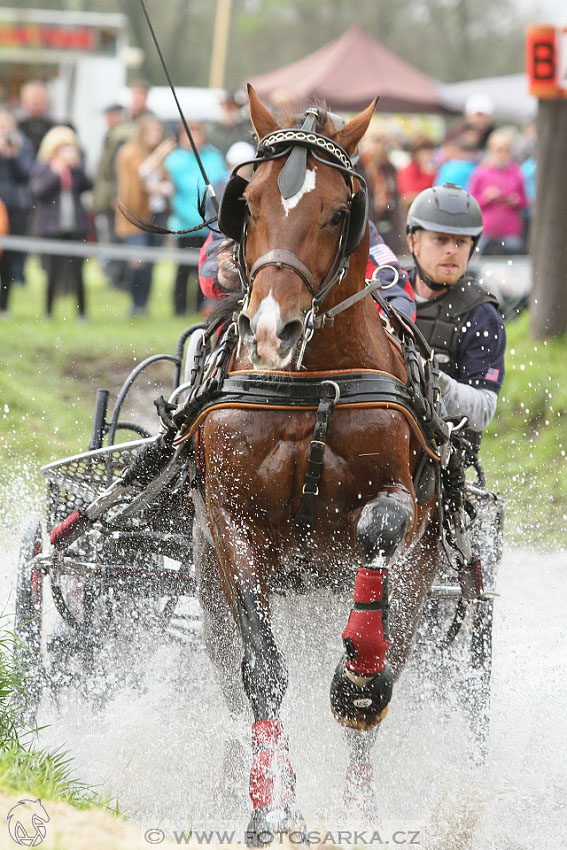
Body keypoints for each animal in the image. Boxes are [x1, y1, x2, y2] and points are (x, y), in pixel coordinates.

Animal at [190, 88, 444, 840]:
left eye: (338, 211)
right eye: (248, 201)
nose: (272, 329)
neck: (310, 384)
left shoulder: (400, 498)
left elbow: (377, 530)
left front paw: (356, 679)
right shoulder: (232, 525)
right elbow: (263, 673)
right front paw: (272, 804)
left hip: (422, 577)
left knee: (387, 678)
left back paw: (359, 800)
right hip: (209, 589)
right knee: (230, 675)